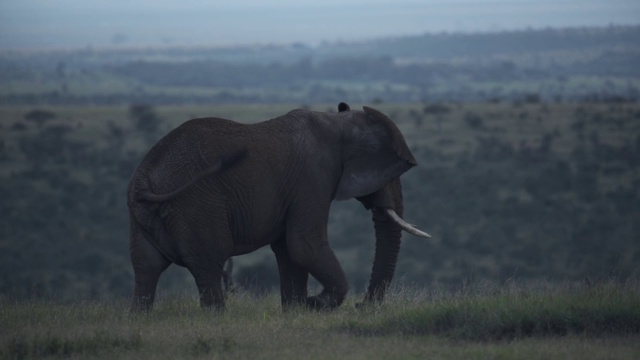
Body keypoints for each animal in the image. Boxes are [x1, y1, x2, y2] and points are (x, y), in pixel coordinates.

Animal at [128, 102, 430, 312]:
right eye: (392, 175)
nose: (362, 305)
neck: (340, 122)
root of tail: (145, 173)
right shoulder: (313, 177)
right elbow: (303, 244)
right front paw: (315, 304)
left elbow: (288, 249)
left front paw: (297, 310)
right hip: (196, 206)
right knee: (209, 263)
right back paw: (216, 317)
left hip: (142, 213)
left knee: (146, 267)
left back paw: (141, 317)